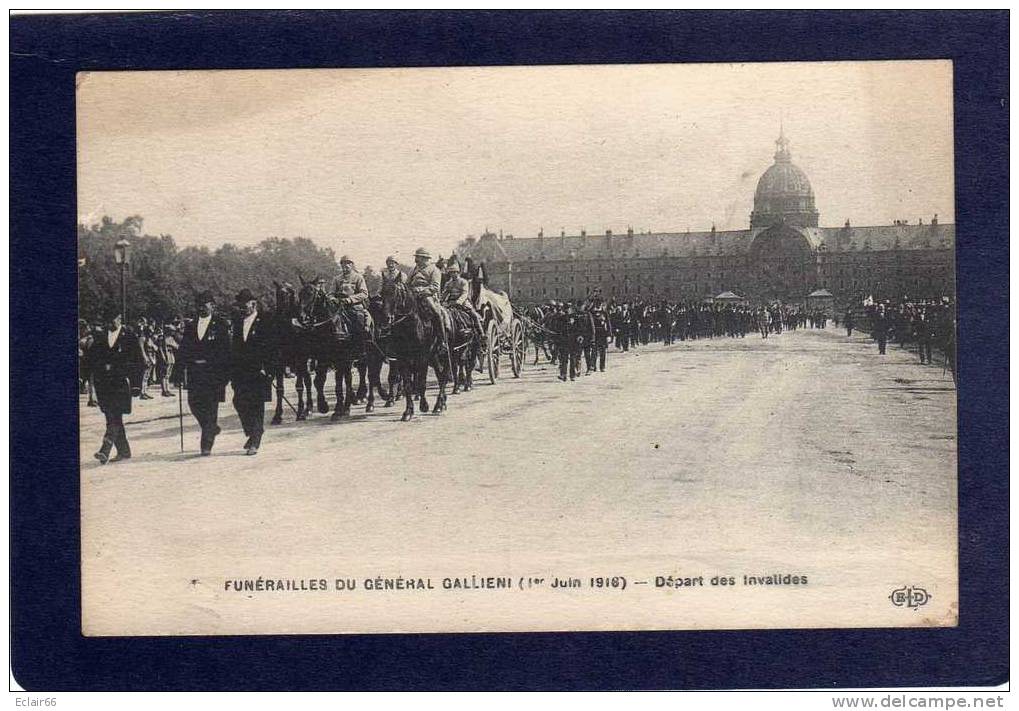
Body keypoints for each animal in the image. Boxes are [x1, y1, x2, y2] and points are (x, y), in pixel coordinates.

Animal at [379, 279, 450, 421]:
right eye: (382, 293)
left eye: (396, 293)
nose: (386, 318)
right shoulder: (402, 359)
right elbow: (407, 384)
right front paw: (408, 411)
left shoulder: (422, 356)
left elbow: (421, 381)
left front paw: (424, 405)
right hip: (433, 357)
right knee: (440, 375)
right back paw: (441, 403)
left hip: (437, 355)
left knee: (443, 375)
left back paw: (438, 405)